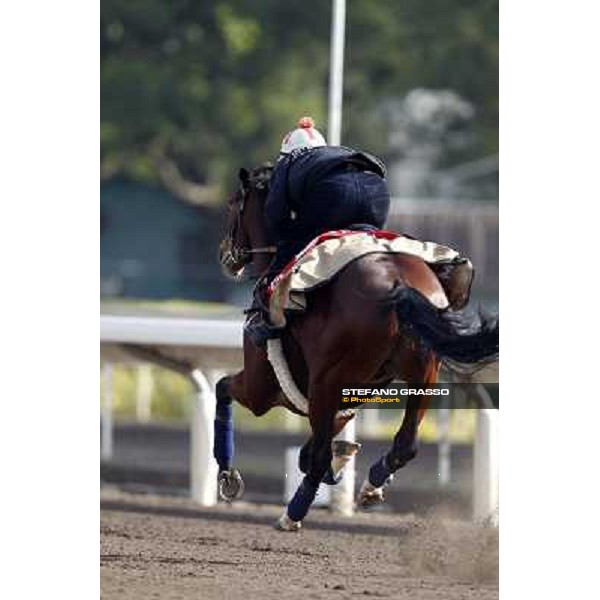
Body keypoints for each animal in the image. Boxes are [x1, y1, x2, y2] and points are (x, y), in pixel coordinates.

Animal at [214, 164, 496, 528]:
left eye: (233, 204)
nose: (226, 254)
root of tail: (398, 283)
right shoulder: (345, 399)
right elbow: (312, 449)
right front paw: (344, 461)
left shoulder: (263, 388)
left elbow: (223, 387)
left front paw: (228, 475)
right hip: (424, 374)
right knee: (405, 444)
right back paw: (370, 487)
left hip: (328, 379)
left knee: (321, 456)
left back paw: (292, 515)